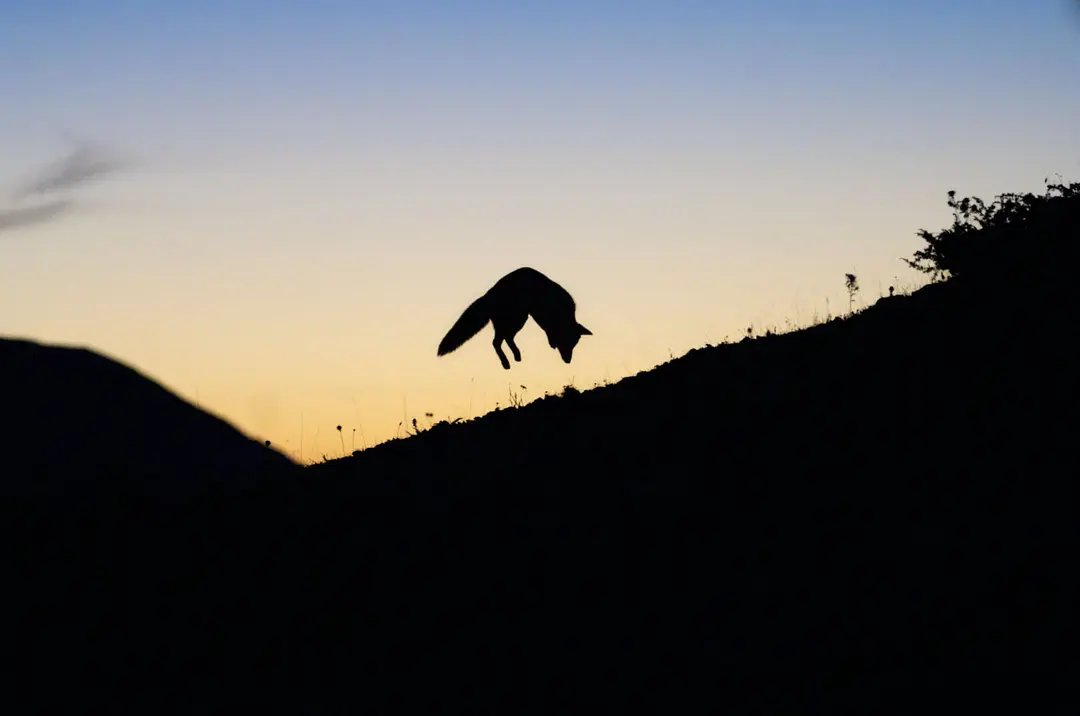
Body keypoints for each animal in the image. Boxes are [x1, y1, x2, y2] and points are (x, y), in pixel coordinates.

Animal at [437, 267, 592, 370]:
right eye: (568, 343)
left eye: (574, 345)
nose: (568, 361)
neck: (563, 315)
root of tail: (489, 294)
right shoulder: (544, 318)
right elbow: (549, 332)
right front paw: (552, 342)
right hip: (516, 320)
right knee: (497, 342)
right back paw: (506, 363)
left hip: (516, 321)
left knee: (505, 339)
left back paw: (516, 356)